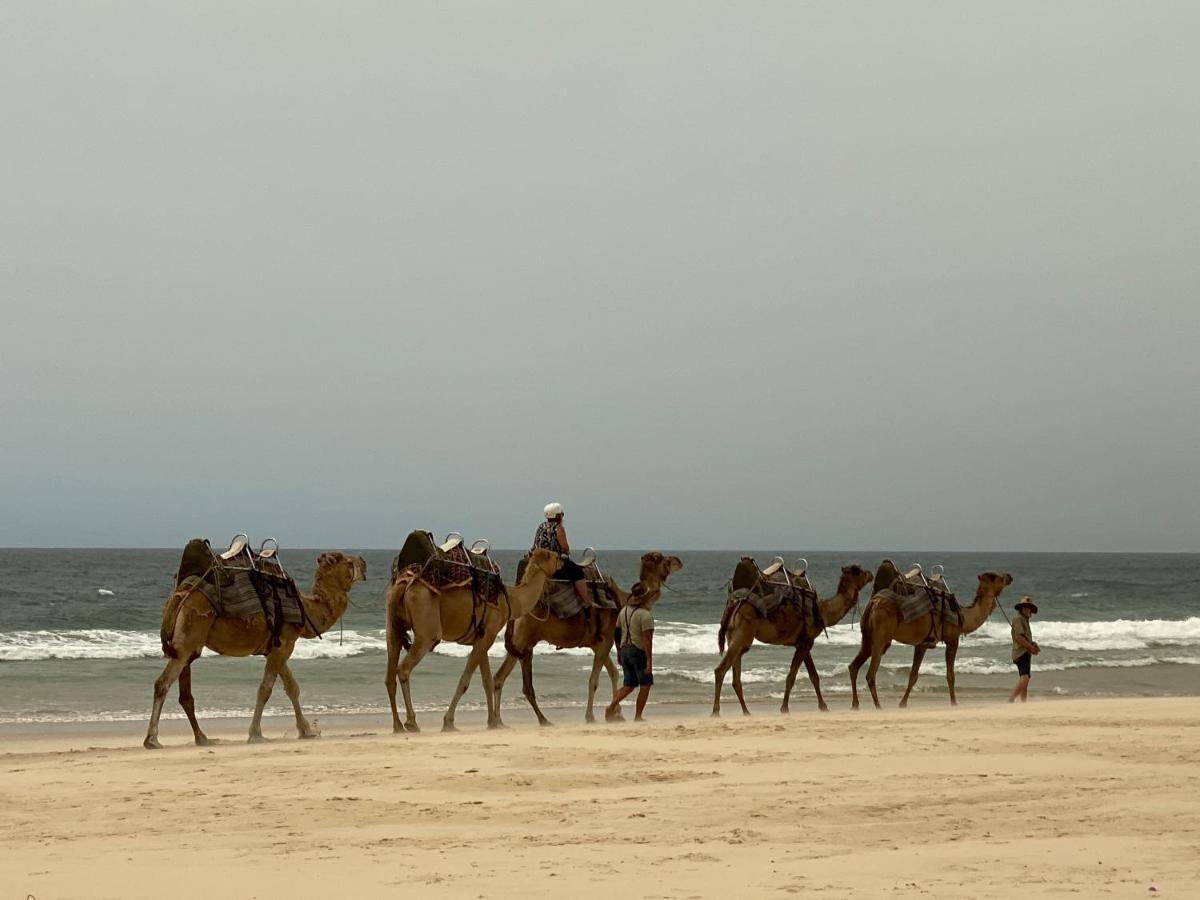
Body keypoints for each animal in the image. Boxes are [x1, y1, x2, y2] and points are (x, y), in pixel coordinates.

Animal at [142, 554, 364, 748]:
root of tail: (180, 591)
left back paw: (202, 738)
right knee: (162, 683)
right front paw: (256, 734)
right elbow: (265, 689)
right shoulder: (285, 643)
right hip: (189, 634)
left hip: (189, 643)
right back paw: (152, 739)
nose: (363, 562)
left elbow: (292, 687)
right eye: (345, 560)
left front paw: (307, 731)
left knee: (185, 694)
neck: (306, 608)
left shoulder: (276, 647)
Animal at [386, 549, 564, 734]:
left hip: (393, 625)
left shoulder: (482, 638)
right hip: (426, 630)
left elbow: (487, 681)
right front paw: (449, 722)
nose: (563, 560)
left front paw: (493, 722)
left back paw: (398, 725)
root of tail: (404, 584)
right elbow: (465, 681)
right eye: (554, 556)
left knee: (390, 674)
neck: (509, 600)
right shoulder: (489, 635)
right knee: (404, 669)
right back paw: (411, 722)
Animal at [492, 549, 686, 724]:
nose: (678, 560)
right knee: (524, 685)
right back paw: (539, 720)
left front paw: (616, 713)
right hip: (526, 639)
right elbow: (594, 680)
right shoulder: (605, 641)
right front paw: (591, 716)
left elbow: (614, 673)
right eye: (660, 557)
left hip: (519, 644)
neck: (622, 600)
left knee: (500, 677)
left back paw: (501, 721)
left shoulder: (599, 643)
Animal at [710, 564, 873, 720]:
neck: (822, 610)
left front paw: (824, 707)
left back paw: (746, 711)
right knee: (720, 670)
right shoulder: (806, 643)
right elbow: (792, 676)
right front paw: (784, 708)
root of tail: (733, 604)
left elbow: (814, 676)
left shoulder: (804, 642)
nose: (871, 574)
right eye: (857, 570)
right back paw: (716, 711)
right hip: (742, 634)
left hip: (735, 637)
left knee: (735, 677)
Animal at [844, 571, 1012, 710]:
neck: (963, 615)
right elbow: (950, 675)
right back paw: (878, 706)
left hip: (867, 636)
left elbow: (913, 675)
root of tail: (874, 602)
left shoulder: (922, 644)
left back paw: (855, 704)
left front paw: (903, 703)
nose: (1009, 576)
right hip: (881, 636)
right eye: (997, 577)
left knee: (854, 666)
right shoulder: (952, 640)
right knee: (870, 673)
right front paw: (954, 702)